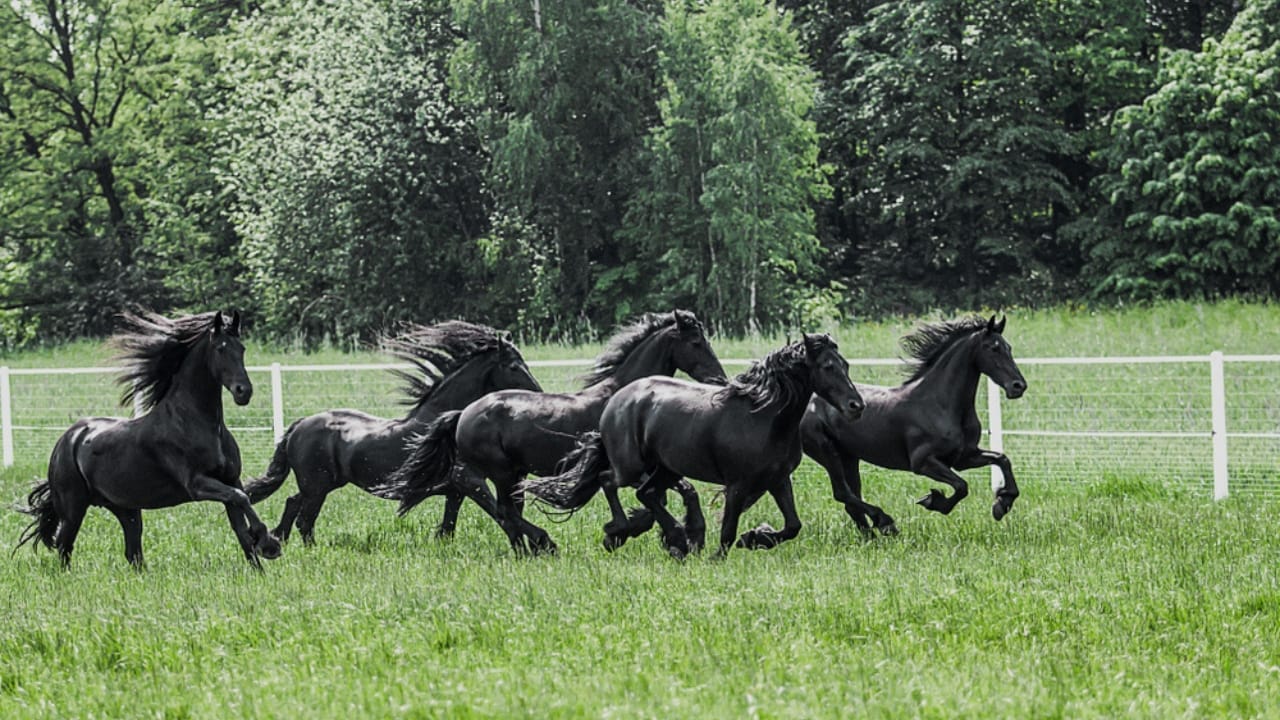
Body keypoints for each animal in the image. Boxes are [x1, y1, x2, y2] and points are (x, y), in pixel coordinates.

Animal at [15, 311, 281, 570]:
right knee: (64, 545)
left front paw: (260, 565)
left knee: (132, 553)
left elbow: (241, 526)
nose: (243, 391)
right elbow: (242, 499)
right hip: (73, 509)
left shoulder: (231, 479)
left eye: (242, 348)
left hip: (126, 509)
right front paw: (269, 543)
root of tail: (67, 440)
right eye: (220, 349)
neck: (196, 422)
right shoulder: (196, 484)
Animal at [243, 321, 542, 545]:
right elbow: (496, 511)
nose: (538, 394)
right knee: (305, 518)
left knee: (293, 504)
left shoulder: (454, 491)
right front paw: (538, 543)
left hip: (318, 484)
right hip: (317, 485)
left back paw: (279, 541)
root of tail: (299, 425)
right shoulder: (467, 481)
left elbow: (448, 527)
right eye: (514, 366)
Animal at [377, 310, 727, 555]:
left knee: (507, 510)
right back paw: (544, 543)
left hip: (514, 473)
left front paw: (670, 535)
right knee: (503, 509)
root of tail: (462, 413)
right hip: (502, 472)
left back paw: (528, 548)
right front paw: (636, 533)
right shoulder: (627, 467)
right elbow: (658, 494)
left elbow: (677, 491)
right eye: (696, 342)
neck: (621, 398)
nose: (720, 380)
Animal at [521, 334, 865, 559]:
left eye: (846, 364)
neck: (763, 417)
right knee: (609, 481)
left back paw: (674, 538)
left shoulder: (778, 480)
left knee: (646, 494)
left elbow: (793, 525)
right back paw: (624, 531)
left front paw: (755, 539)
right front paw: (721, 554)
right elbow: (727, 531)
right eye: (827, 366)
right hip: (631, 466)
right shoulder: (737, 484)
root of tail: (617, 399)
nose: (856, 406)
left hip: (664, 469)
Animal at [800, 315, 1027, 537]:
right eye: (993, 348)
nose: (1019, 386)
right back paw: (886, 523)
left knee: (851, 501)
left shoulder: (964, 457)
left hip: (848, 457)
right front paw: (933, 501)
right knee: (843, 494)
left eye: (1009, 348)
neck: (939, 404)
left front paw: (1002, 503)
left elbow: (1002, 459)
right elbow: (962, 486)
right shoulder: (923, 462)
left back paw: (872, 537)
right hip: (827, 452)